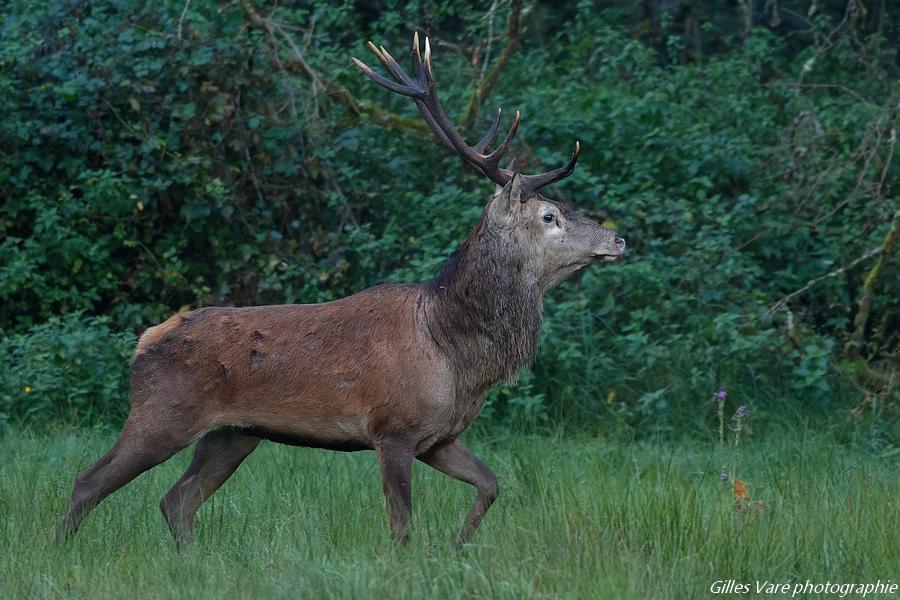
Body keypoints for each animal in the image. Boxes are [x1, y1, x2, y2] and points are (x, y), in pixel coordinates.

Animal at [58, 32, 624, 548]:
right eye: (549, 216)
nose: (618, 238)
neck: (454, 351)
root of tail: (146, 340)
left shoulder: (439, 437)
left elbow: (492, 484)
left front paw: (459, 545)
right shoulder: (392, 428)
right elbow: (401, 527)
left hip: (232, 435)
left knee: (177, 498)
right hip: (162, 413)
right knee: (88, 480)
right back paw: (62, 549)